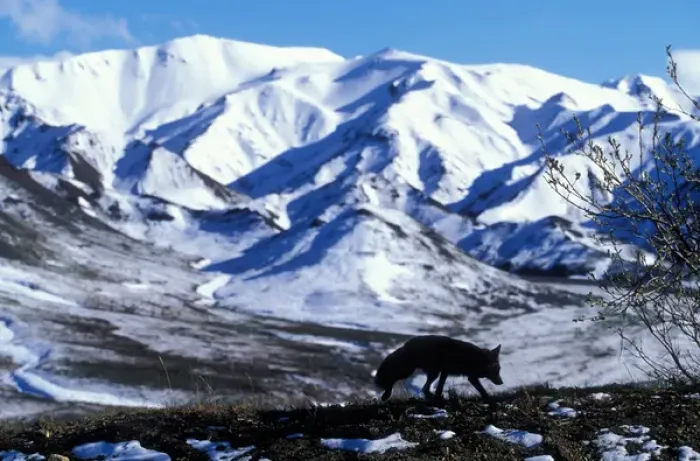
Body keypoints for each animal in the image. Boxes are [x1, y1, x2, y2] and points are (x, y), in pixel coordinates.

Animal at [373, 335, 503, 407]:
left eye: (499, 370)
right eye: (494, 371)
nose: (501, 382)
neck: (476, 359)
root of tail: (406, 345)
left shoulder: (445, 373)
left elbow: (439, 388)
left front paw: (438, 397)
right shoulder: (471, 377)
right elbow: (483, 391)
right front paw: (492, 402)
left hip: (432, 373)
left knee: (424, 389)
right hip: (411, 371)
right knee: (396, 379)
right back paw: (386, 395)